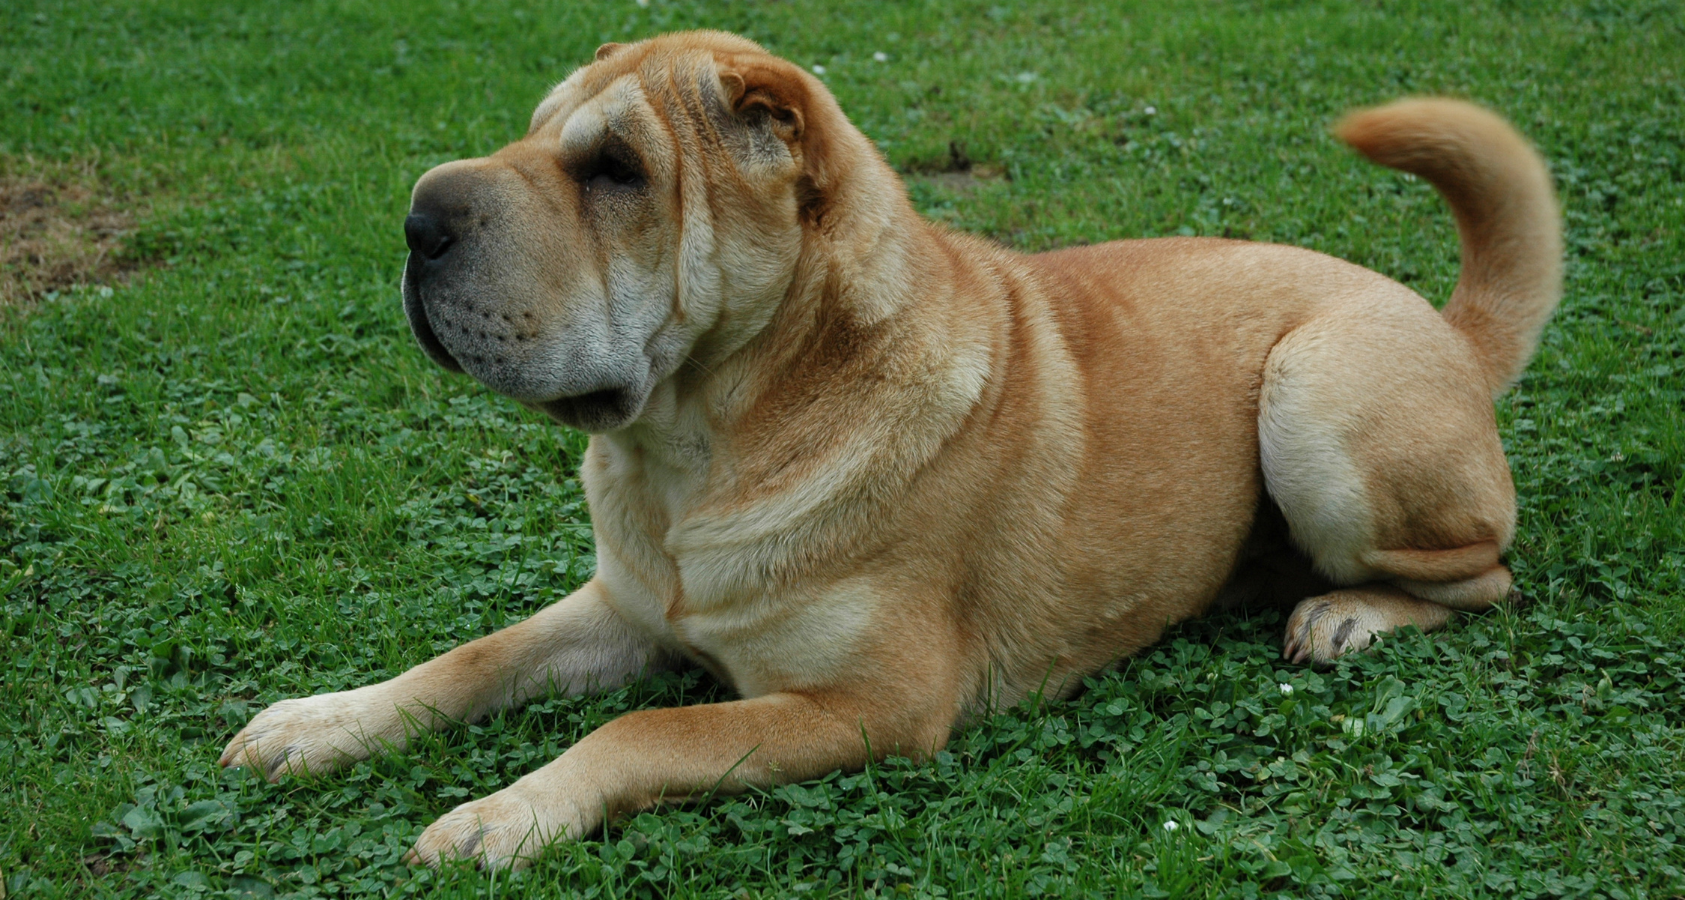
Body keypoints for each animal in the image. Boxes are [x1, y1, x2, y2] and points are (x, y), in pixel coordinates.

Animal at [217, 31, 1556, 869]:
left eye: (615, 169)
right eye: (532, 137)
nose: (415, 221)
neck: (698, 453)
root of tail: (1442, 321)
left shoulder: (871, 705)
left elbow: (644, 733)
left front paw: (506, 813)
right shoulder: (624, 608)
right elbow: (473, 657)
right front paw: (320, 721)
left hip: (1312, 403)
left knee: (1488, 573)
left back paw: (1344, 611)